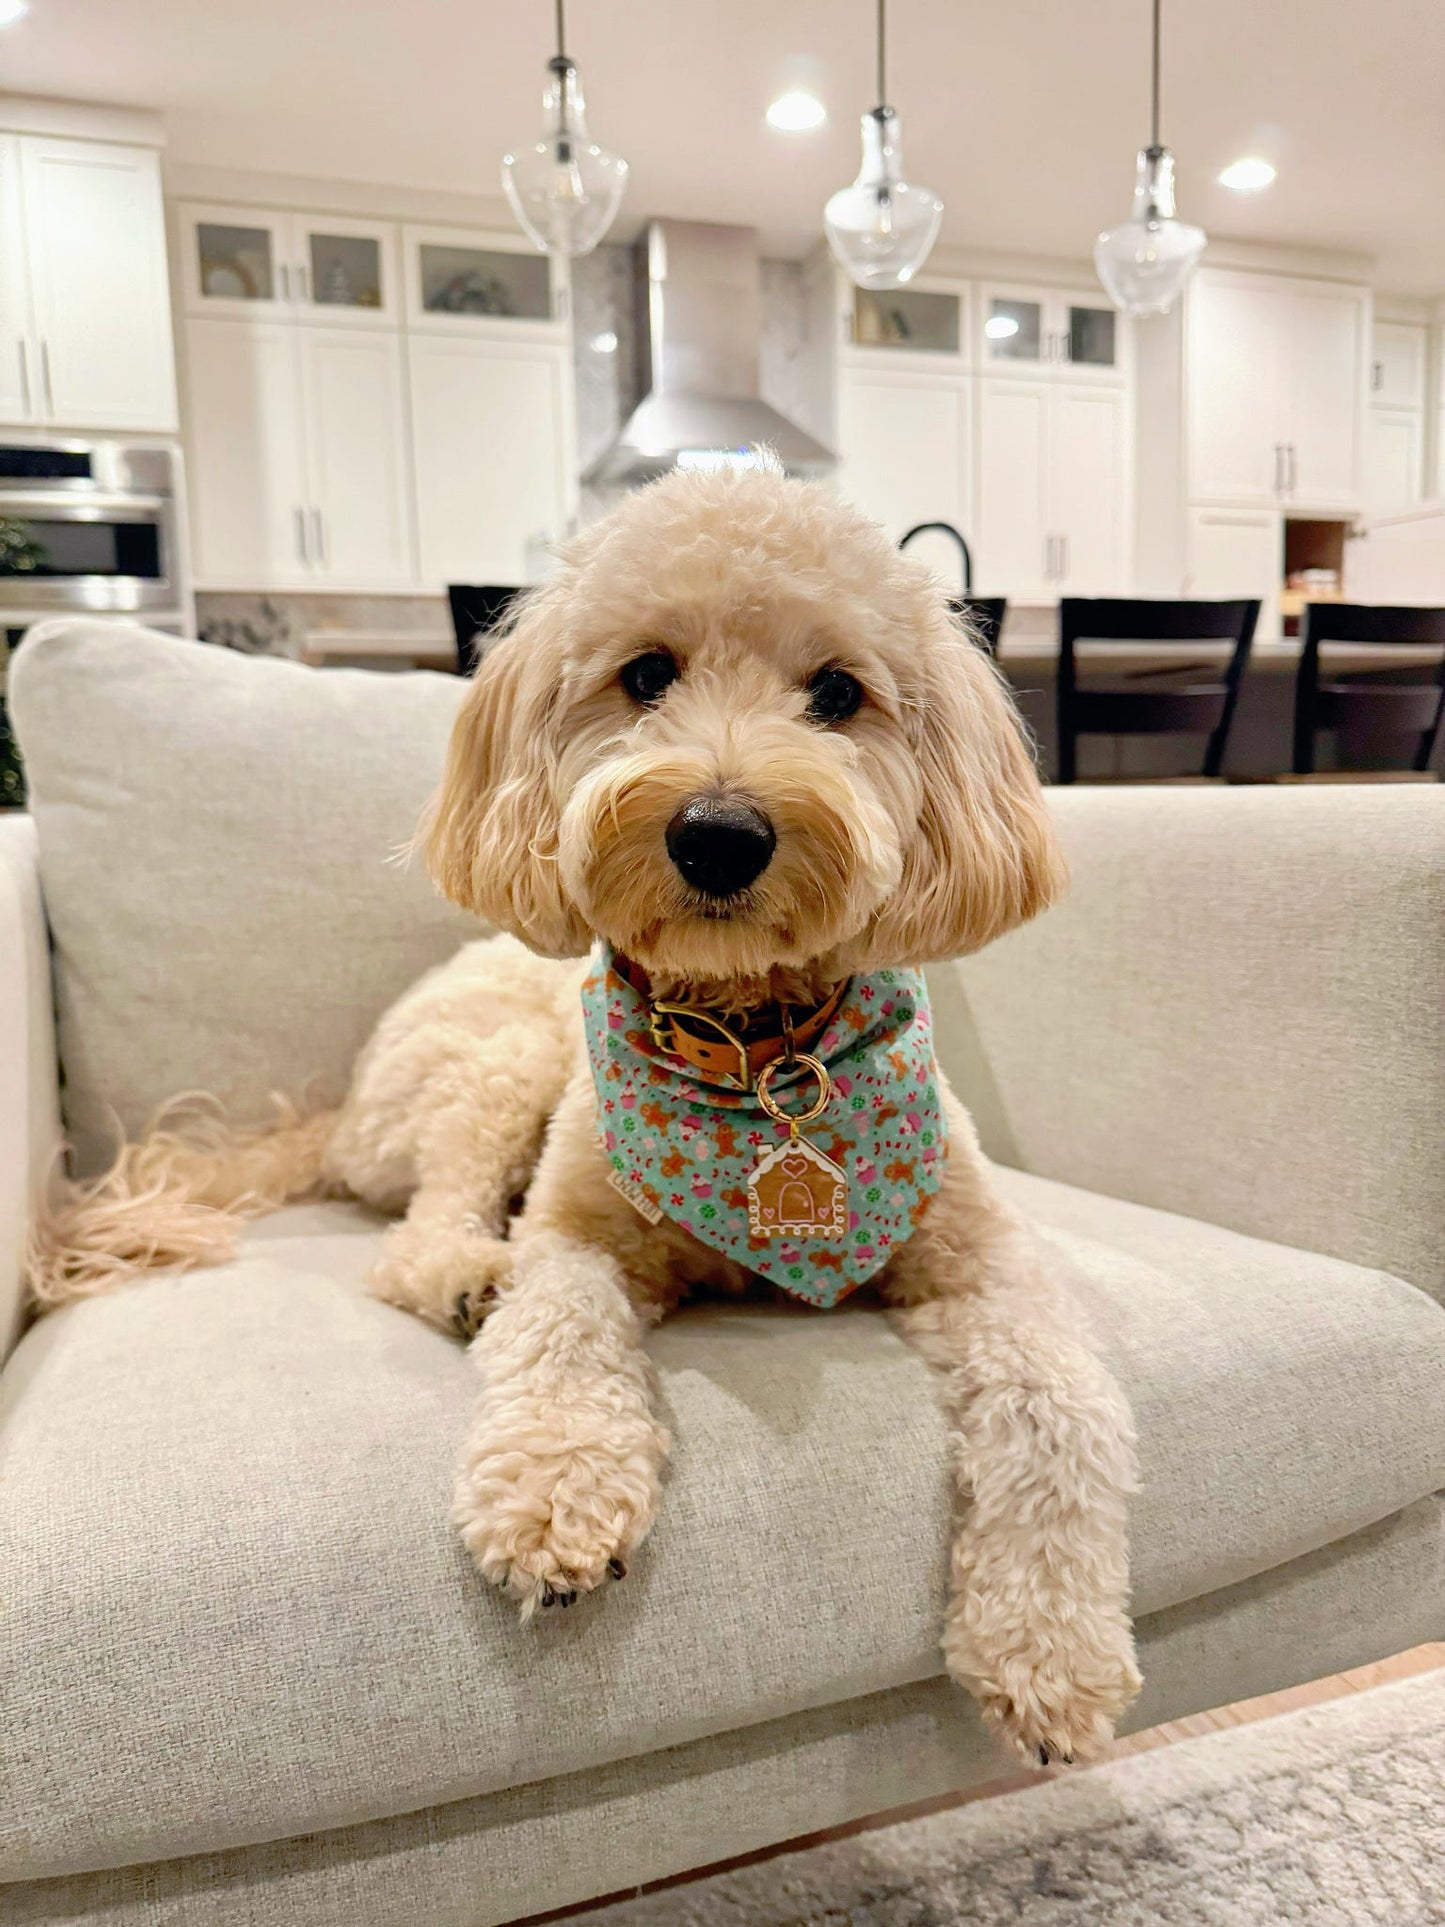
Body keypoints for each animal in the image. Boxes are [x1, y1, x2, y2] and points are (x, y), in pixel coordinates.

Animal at [31, 462, 1140, 1765]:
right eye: (645, 674)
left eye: (837, 692)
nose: (718, 834)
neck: (752, 1050)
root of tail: (339, 1104)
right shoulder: (574, 1229)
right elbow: (558, 1325)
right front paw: (553, 1495)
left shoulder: (986, 1264)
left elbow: (1059, 1407)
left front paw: (1049, 1649)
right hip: (499, 1066)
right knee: (417, 1234)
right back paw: (469, 1275)